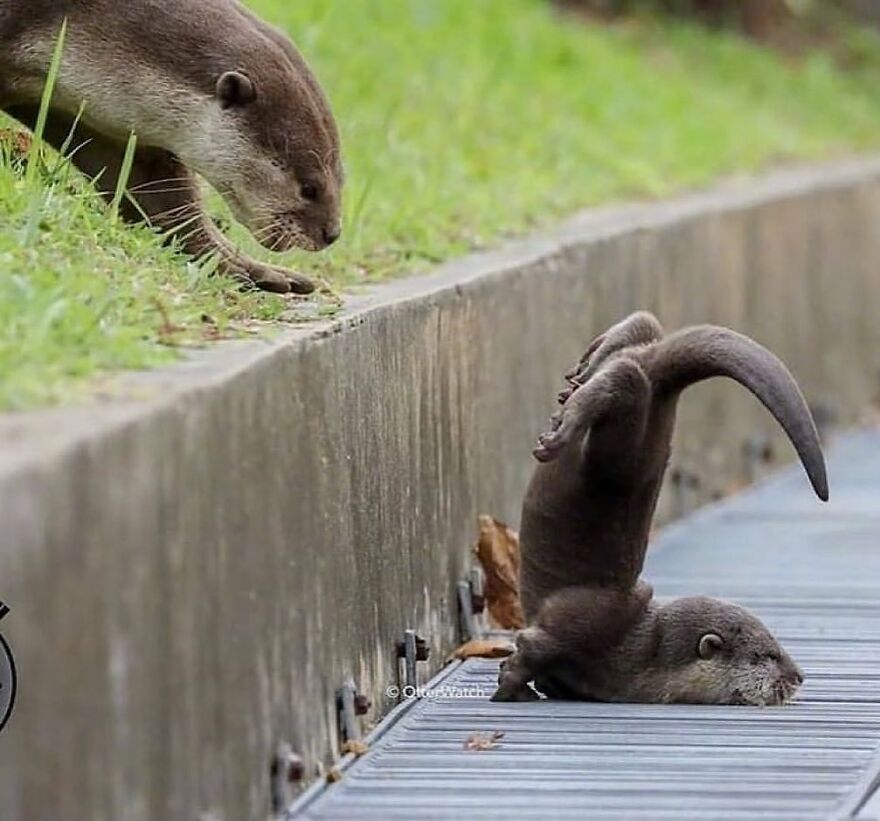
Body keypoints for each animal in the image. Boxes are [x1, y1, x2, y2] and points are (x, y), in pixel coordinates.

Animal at [0, 0, 342, 294]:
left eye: (341, 180)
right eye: (309, 189)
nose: (332, 234)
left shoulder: (106, 125)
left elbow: (159, 198)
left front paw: (242, 265)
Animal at [492, 311, 828, 706]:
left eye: (778, 645)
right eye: (767, 655)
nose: (799, 675)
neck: (637, 652)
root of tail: (666, 387)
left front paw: (540, 686)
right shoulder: (581, 626)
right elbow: (530, 649)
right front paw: (514, 689)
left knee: (640, 336)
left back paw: (587, 366)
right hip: (622, 450)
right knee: (628, 381)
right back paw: (564, 423)